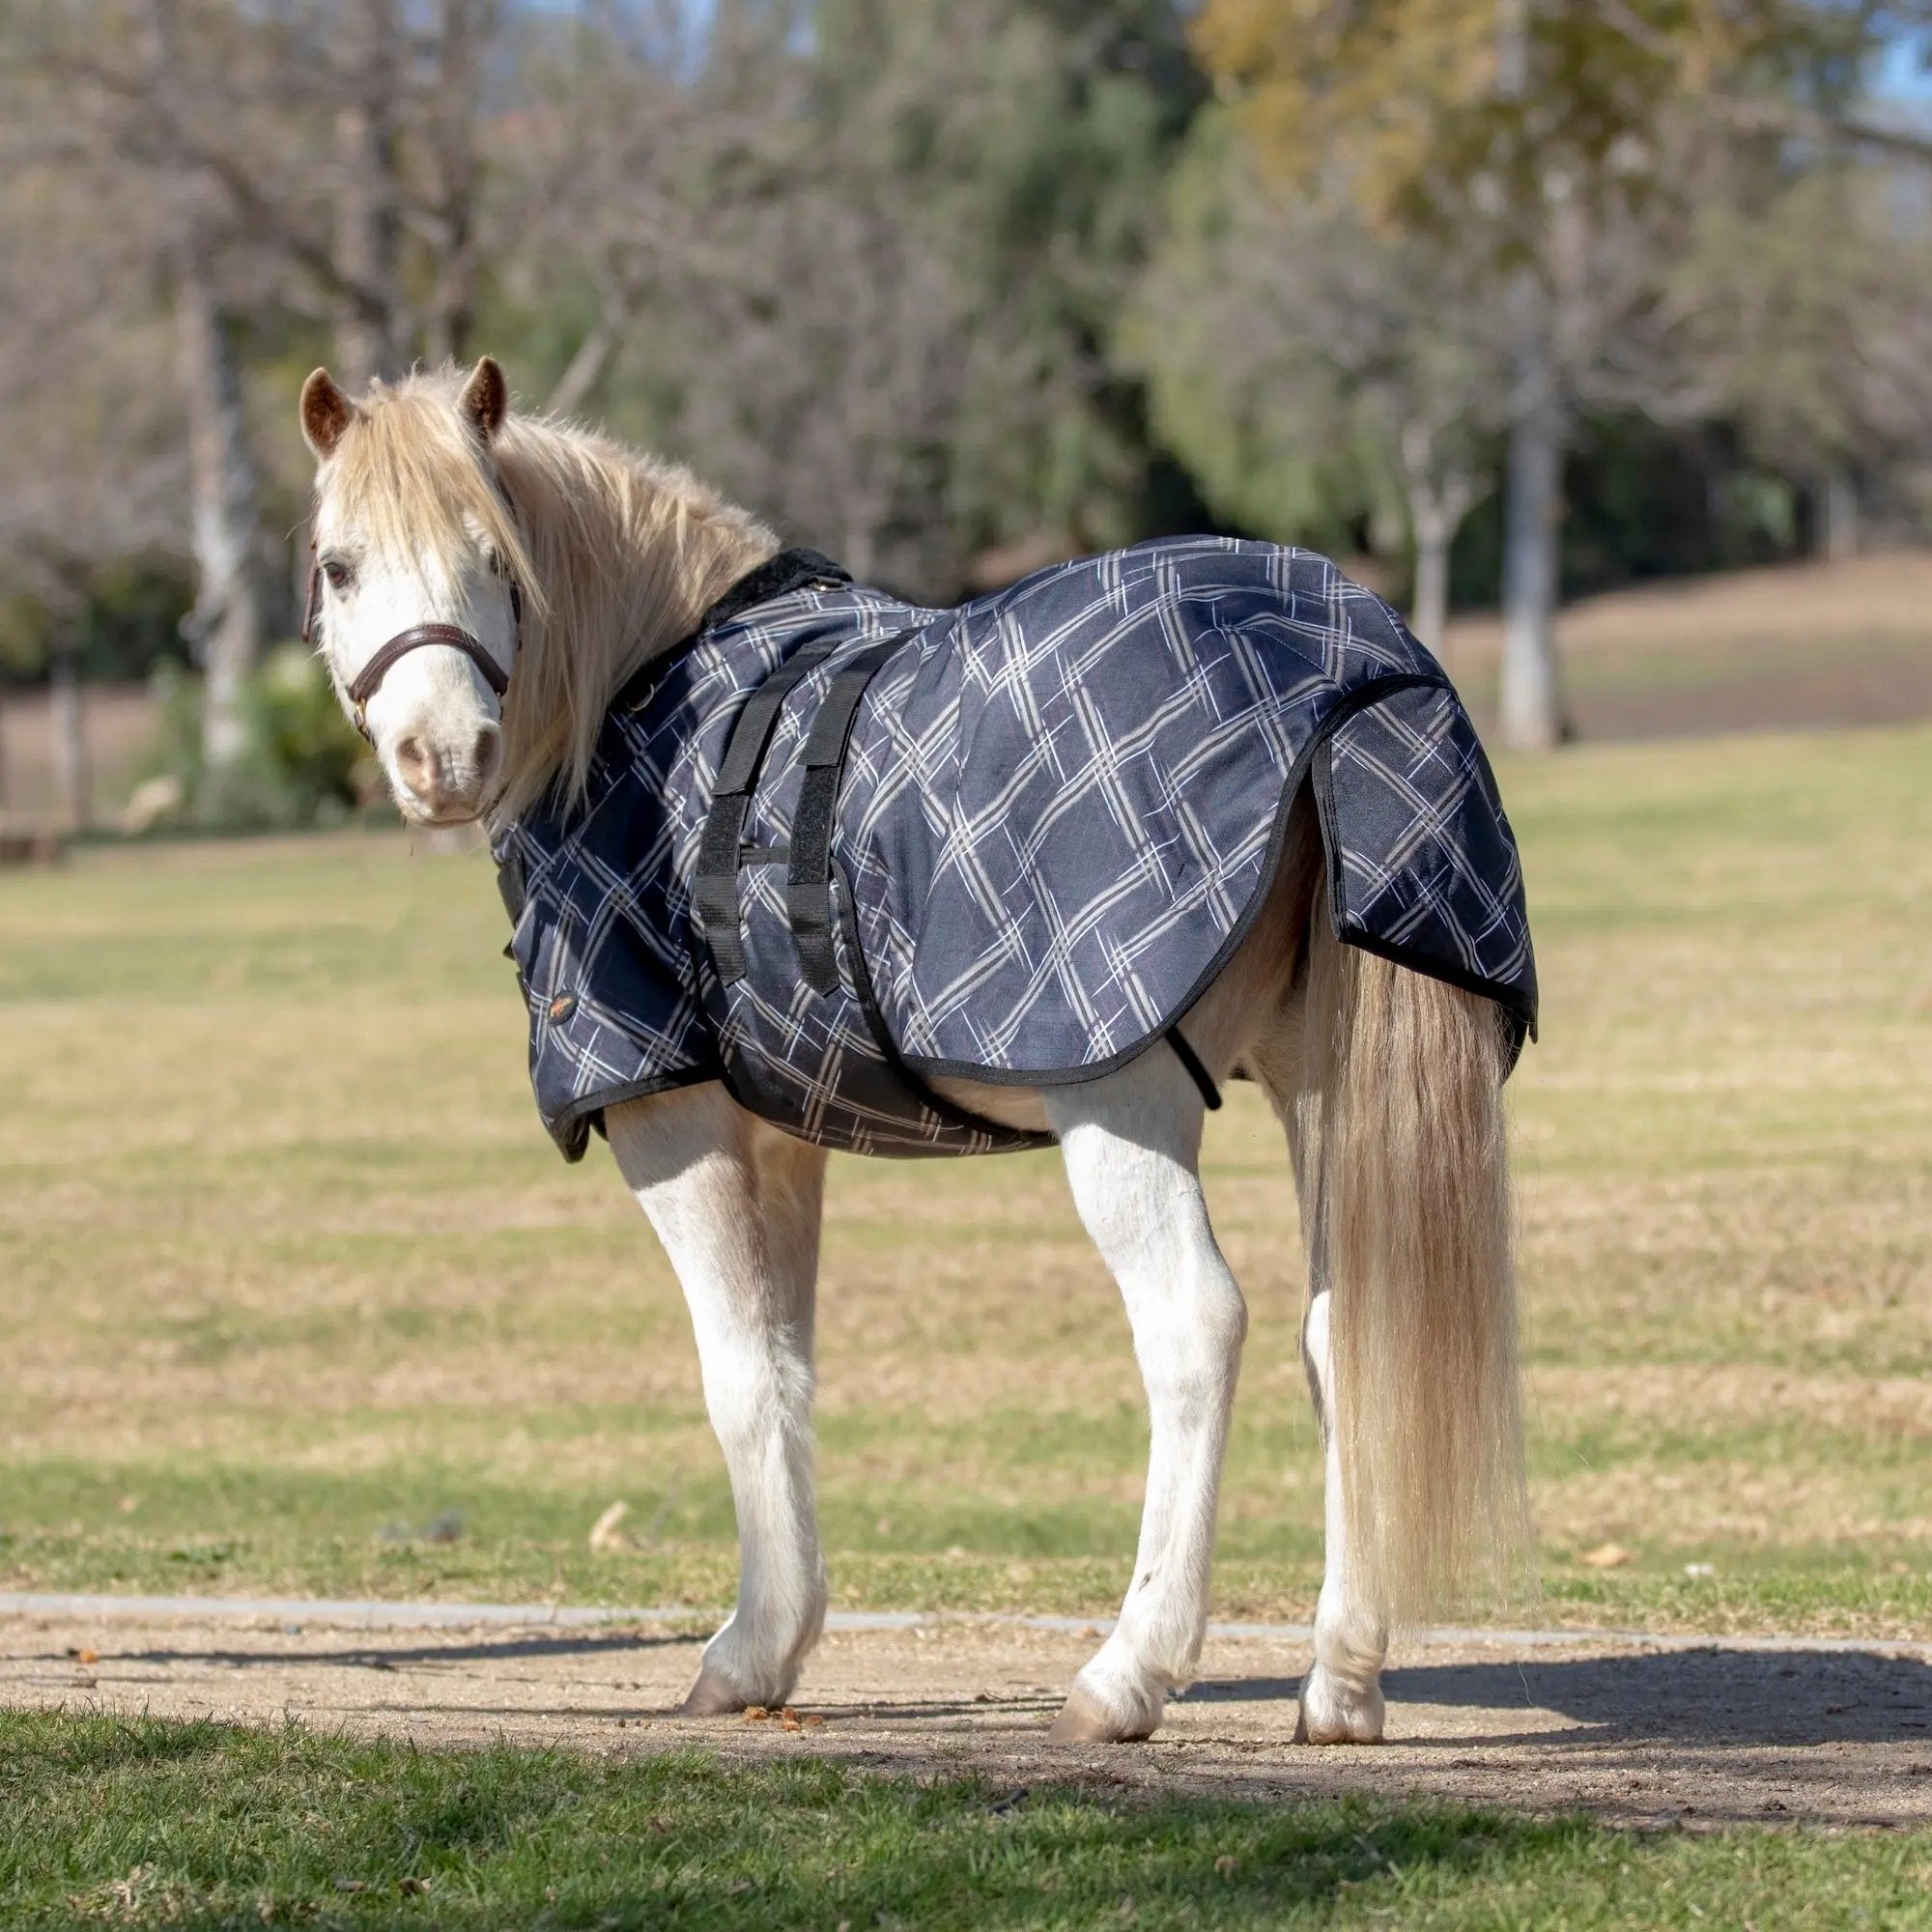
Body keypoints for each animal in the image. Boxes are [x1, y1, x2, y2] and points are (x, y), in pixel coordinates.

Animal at [297, 355, 1529, 1747]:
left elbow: (733, 1372)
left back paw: (1129, 1670)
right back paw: (1341, 1680)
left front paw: (741, 1654)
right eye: (340, 563)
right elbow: (784, 1369)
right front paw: (776, 1638)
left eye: (494, 556)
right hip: (1327, 1089)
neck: (639, 693)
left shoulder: (668, 1113)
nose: (442, 759)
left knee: (1195, 1326)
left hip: (1119, 1103)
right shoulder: (782, 1135)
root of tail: (1350, 662)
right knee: (1347, 1336)